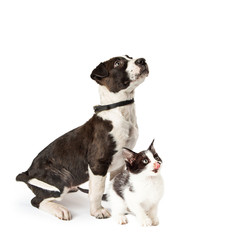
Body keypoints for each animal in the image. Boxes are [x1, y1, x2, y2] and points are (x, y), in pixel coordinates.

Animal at [15, 55, 149, 220]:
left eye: (130, 57)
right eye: (117, 63)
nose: (142, 60)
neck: (119, 111)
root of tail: (27, 172)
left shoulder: (119, 164)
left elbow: (116, 186)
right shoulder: (98, 163)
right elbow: (97, 191)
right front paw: (98, 211)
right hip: (62, 177)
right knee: (37, 200)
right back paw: (59, 209)